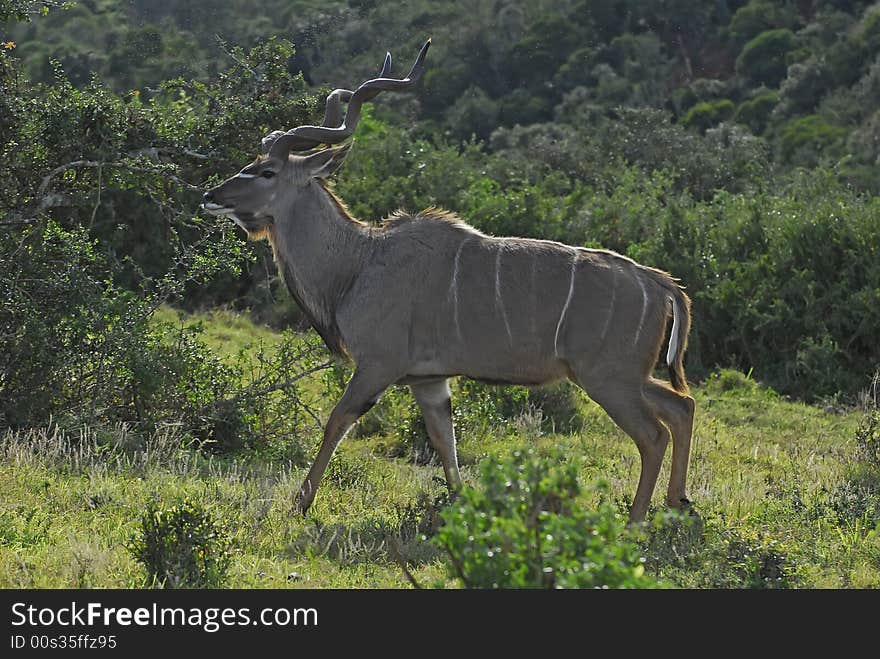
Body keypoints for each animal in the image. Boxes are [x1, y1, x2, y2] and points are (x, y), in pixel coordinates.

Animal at [201, 42, 696, 524]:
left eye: (267, 171)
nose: (210, 196)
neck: (359, 261)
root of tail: (660, 283)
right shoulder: (428, 380)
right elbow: (444, 440)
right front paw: (459, 507)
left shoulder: (378, 364)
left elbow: (337, 420)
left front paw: (299, 504)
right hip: (625, 375)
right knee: (681, 406)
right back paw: (679, 503)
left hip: (607, 378)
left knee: (653, 434)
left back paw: (635, 523)